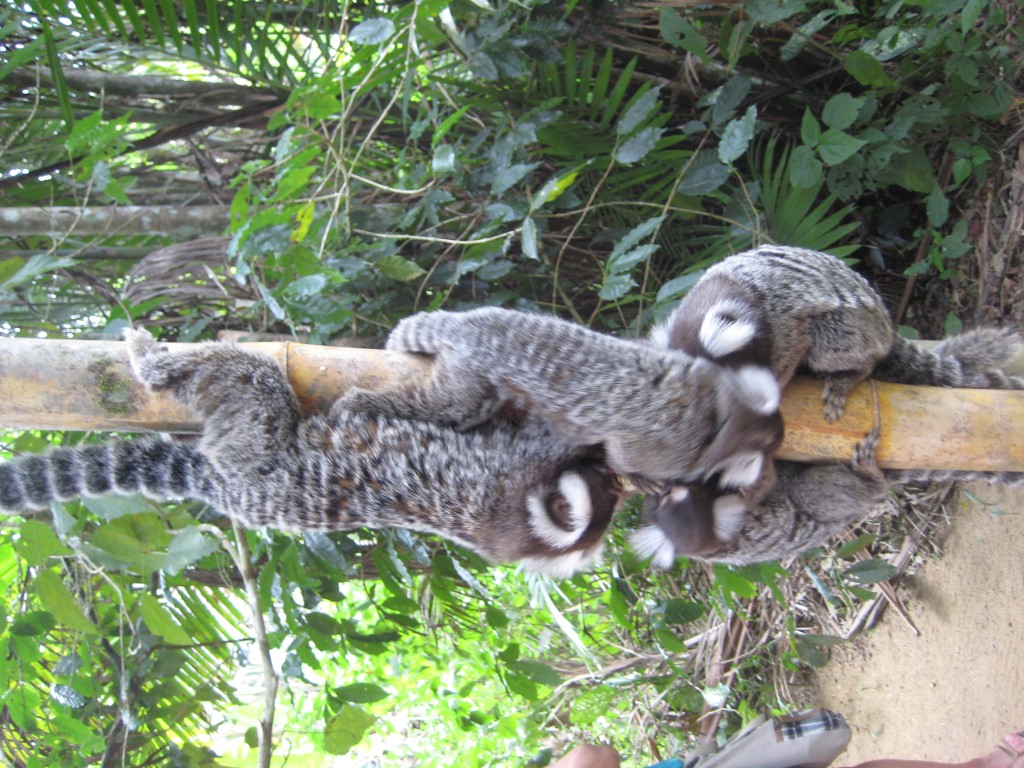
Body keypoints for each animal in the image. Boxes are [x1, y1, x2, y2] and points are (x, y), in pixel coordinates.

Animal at [0, 330, 626, 578]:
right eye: (609, 486)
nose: (615, 475)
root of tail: (223, 487)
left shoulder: (511, 468)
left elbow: (459, 403)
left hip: (252, 443)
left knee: (254, 379)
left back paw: (150, 361)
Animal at [334, 307, 786, 492]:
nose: (780, 439)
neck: (712, 405)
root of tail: (468, 323)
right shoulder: (672, 446)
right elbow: (621, 452)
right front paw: (634, 474)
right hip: (471, 373)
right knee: (451, 407)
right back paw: (364, 402)